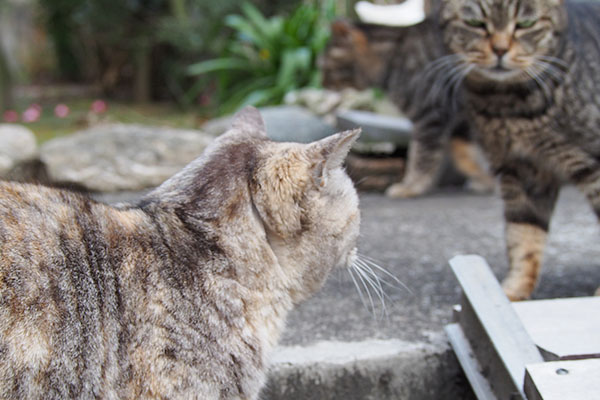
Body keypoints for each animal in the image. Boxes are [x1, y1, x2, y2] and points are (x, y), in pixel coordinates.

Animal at [322, 18, 494, 198]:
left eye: (324, 67)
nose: (322, 83)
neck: (392, 60)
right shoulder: (459, 122)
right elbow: (466, 155)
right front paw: (484, 180)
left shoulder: (430, 116)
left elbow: (421, 156)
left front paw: (411, 186)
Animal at [436, 0, 600, 300]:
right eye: (476, 23)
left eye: (525, 24)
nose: (500, 49)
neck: (509, 106)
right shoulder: (522, 170)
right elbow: (524, 235)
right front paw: (510, 291)